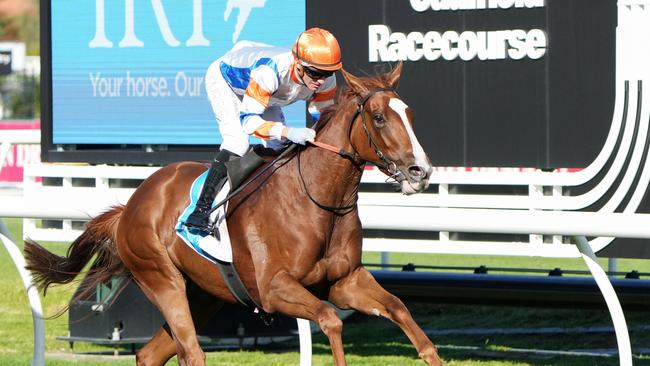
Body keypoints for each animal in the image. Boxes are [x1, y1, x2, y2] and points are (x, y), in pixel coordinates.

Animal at [24, 63, 440, 366]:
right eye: (379, 117)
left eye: (409, 113)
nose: (421, 169)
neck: (319, 199)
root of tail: (131, 205)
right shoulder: (274, 289)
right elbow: (330, 319)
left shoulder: (346, 280)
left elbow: (400, 310)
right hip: (161, 279)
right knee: (192, 354)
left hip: (204, 294)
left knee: (149, 354)